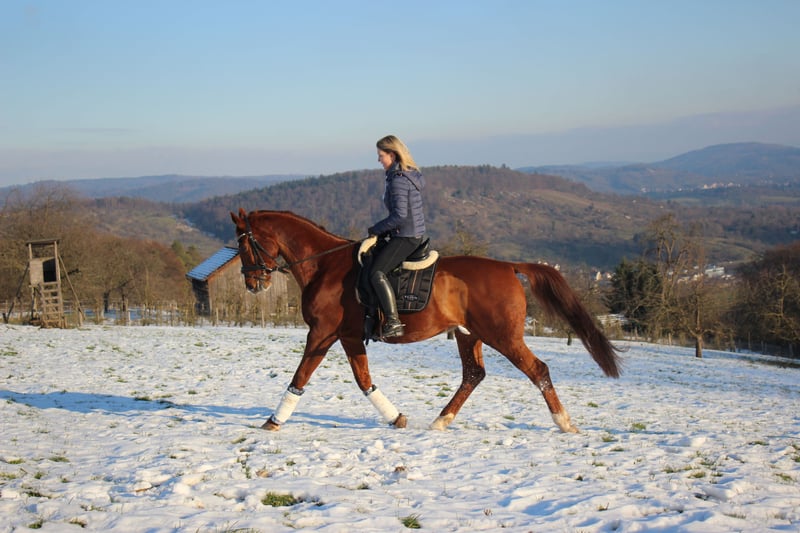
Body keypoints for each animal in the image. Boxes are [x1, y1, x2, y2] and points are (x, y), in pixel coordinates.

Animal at [230, 208, 621, 432]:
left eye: (245, 243)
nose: (252, 284)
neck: (324, 264)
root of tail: (509, 266)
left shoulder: (322, 333)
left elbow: (301, 377)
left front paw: (273, 421)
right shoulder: (349, 336)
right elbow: (363, 380)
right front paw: (396, 418)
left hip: (503, 336)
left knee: (537, 369)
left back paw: (564, 424)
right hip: (468, 334)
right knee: (473, 375)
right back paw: (440, 421)